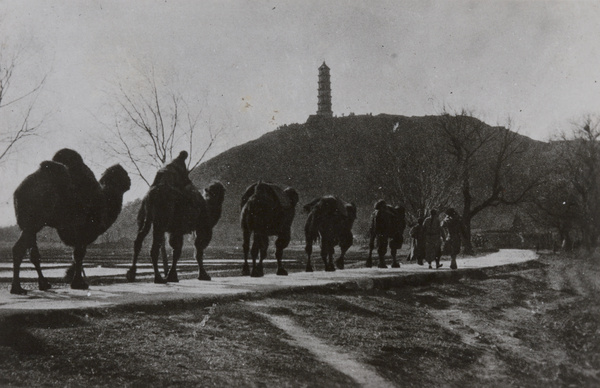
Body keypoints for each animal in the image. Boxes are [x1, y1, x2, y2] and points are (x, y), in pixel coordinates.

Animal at [10, 149, 130, 294]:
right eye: (123, 174)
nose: (129, 181)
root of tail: (19, 191)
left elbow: (77, 255)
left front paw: (70, 277)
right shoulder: (83, 229)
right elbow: (79, 255)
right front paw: (79, 283)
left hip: (29, 225)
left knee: (32, 253)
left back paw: (43, 284)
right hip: (33, 223)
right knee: (20, 249)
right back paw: (17, 288)